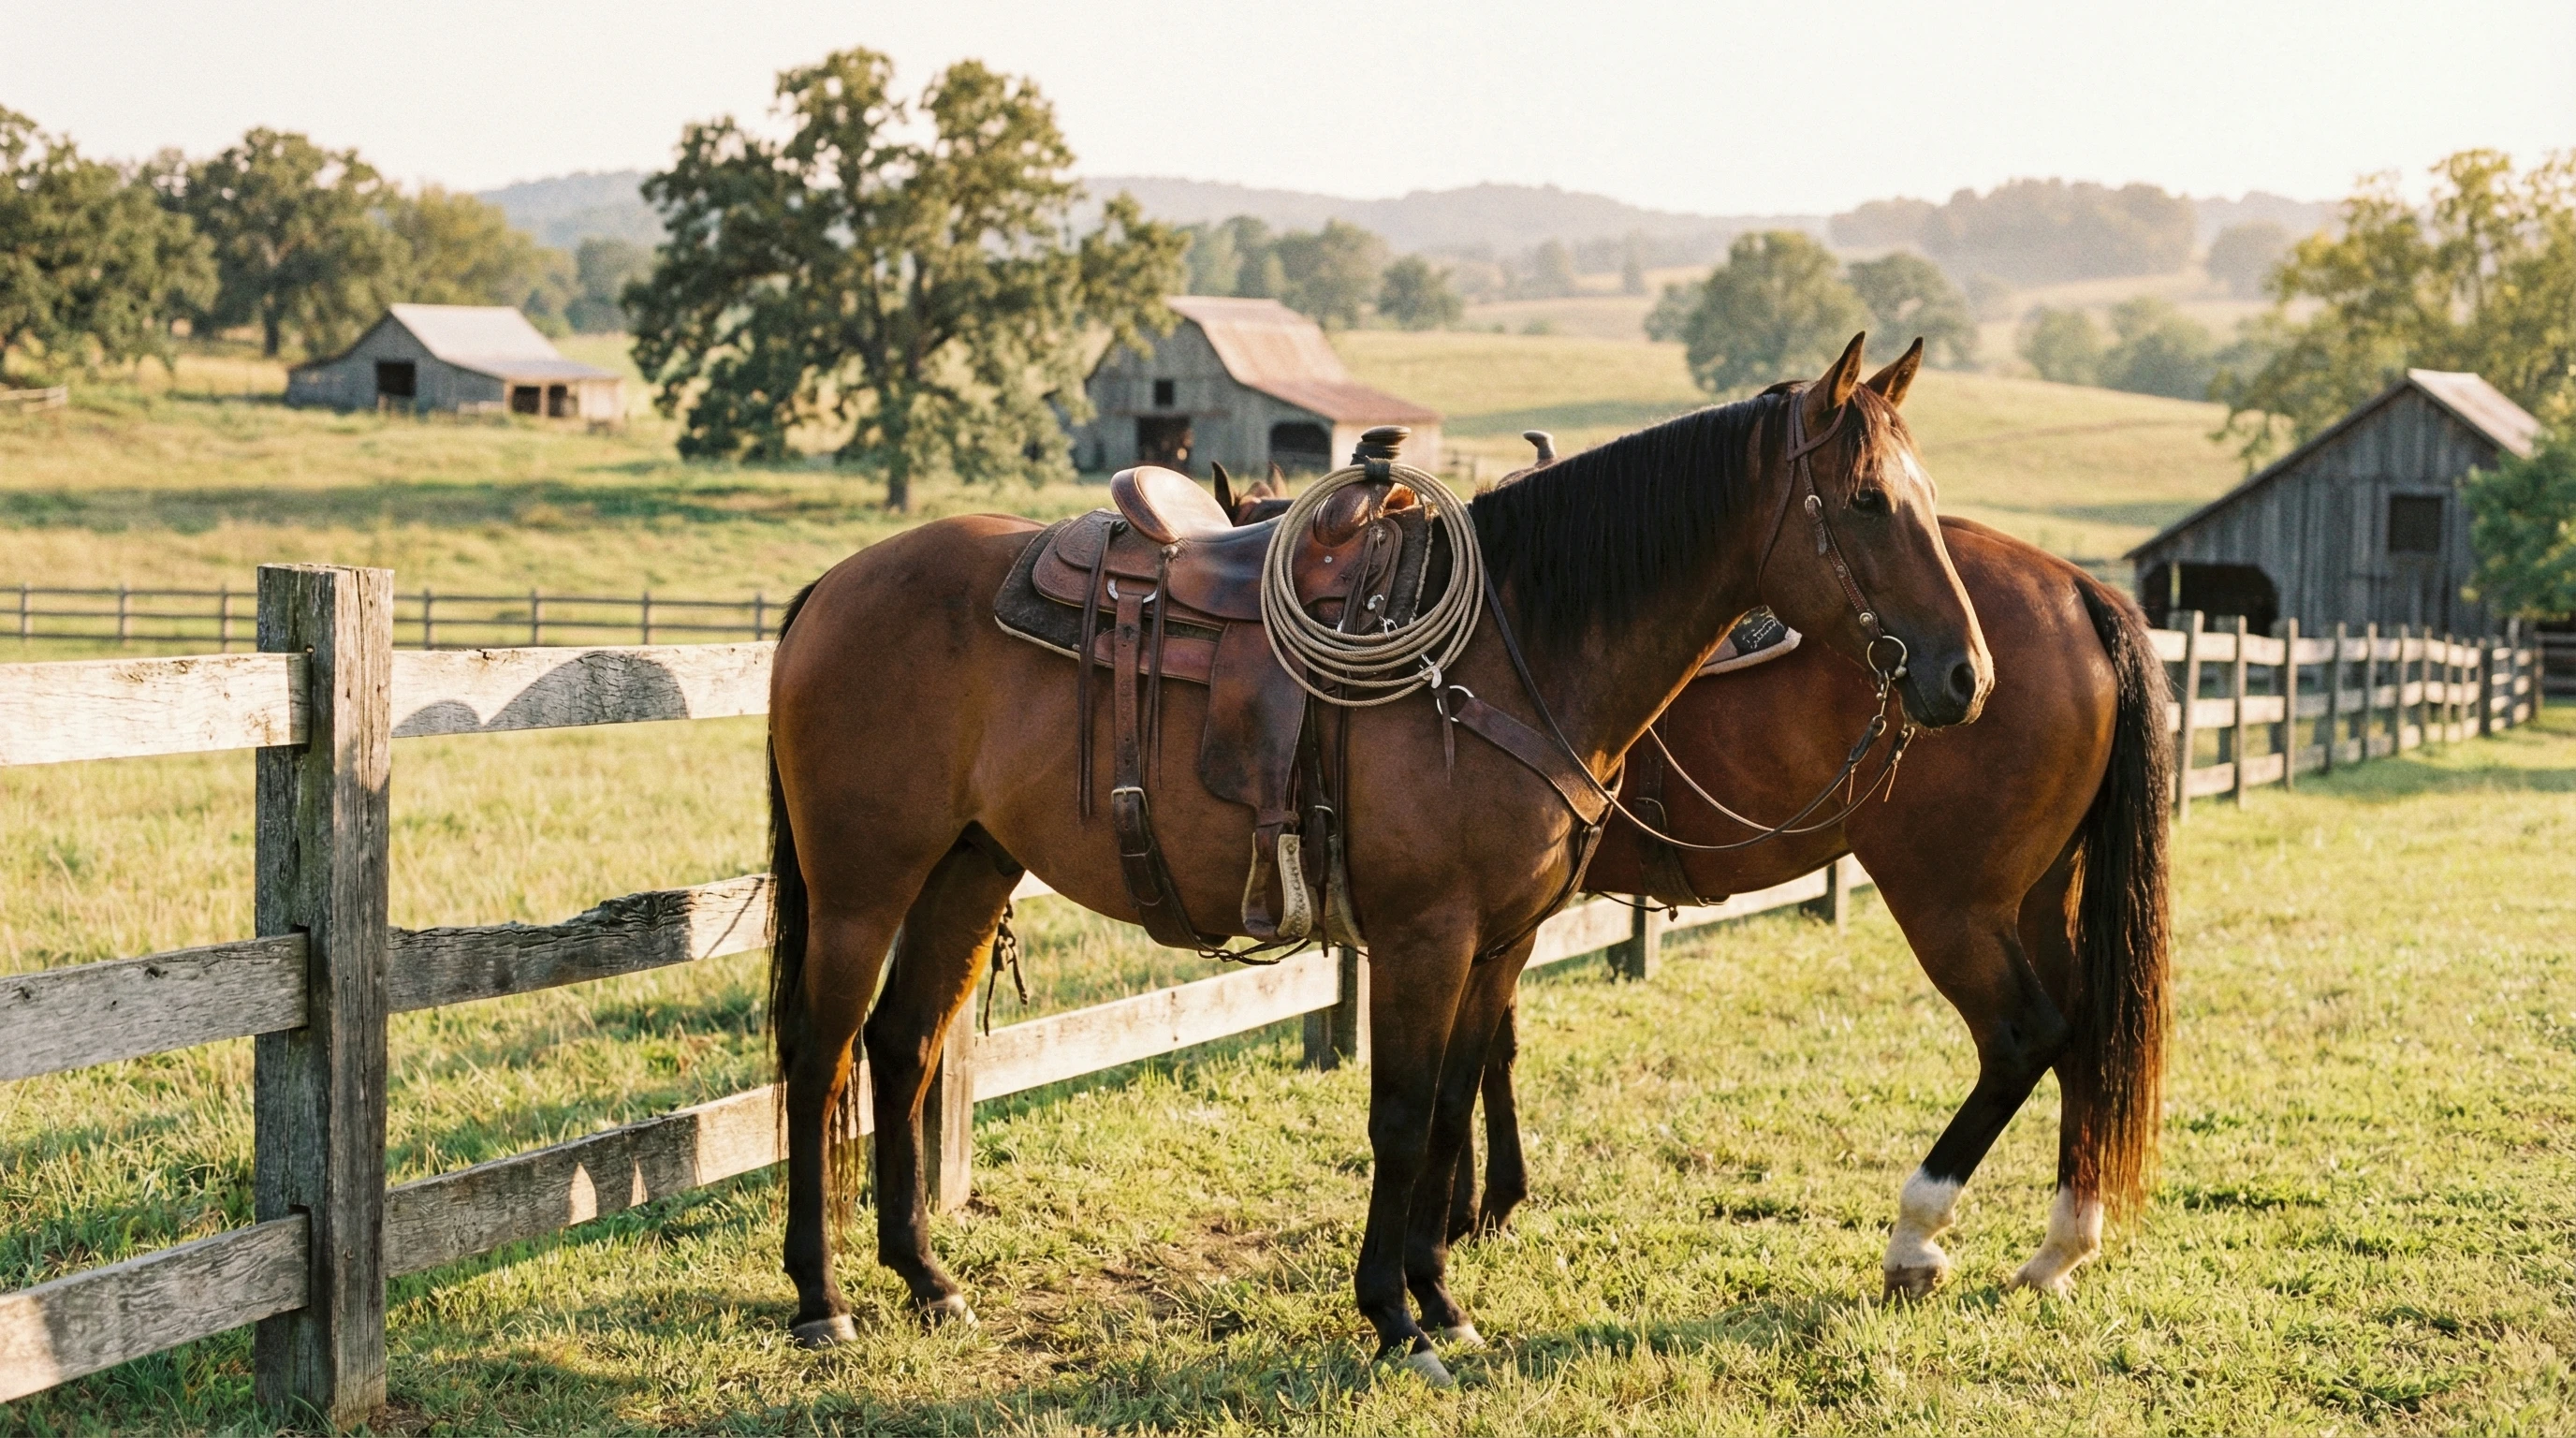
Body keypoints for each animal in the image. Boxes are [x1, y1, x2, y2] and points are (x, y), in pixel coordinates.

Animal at [762, 335, 1993, 1379]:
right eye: (1869, 502)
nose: (1964, 677)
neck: (1507, 648)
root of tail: (834, 586)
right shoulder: (1421, 939)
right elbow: (1399, 1121)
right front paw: (1395, 1321)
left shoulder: (1499, 943)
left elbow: (1449, 1109)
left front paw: (1440, 1298)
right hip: (863, 883)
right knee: (821, 1055)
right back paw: (821, 1300)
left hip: (967, 869)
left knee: (903, 1044)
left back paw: (925, 1280)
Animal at [1447, 513, 2172, 1301]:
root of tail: (2078, 590)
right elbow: (1491, 1045)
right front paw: (1484, 1206)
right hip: (2041, 898)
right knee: (2083, 1038)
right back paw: (2060, 1247)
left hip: (1952, 908)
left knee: (2023, 1039)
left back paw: (1915, 1235)